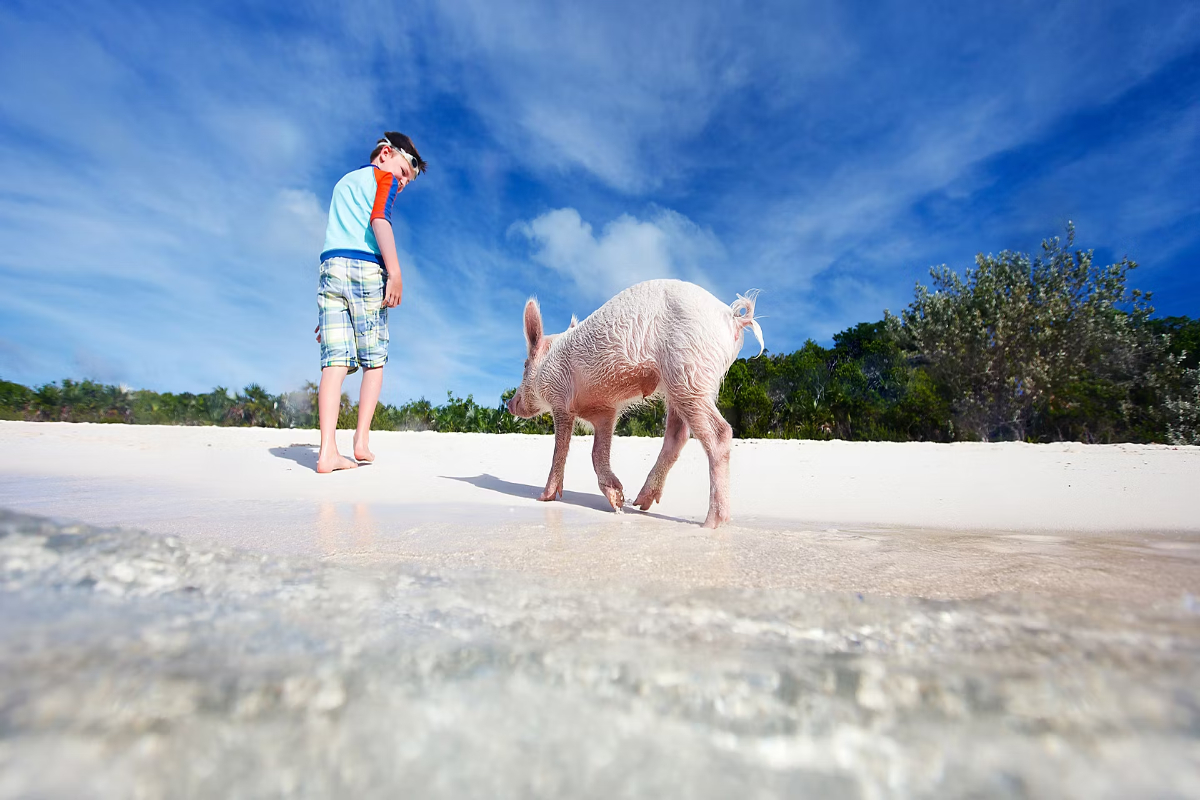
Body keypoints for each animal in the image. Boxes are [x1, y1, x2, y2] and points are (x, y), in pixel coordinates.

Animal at [506, 279, 764, 529]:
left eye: (525, 365)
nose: (510, 403)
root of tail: (734, 319)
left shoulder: (560, 399)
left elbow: (560, 449)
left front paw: (543, 497)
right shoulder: (606, 411)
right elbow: (598, 451)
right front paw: (618, 501)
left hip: (689, 372)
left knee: (720, 432)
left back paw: (711, 523)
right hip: (680, 384)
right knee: (678, 436)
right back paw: (641, 504)